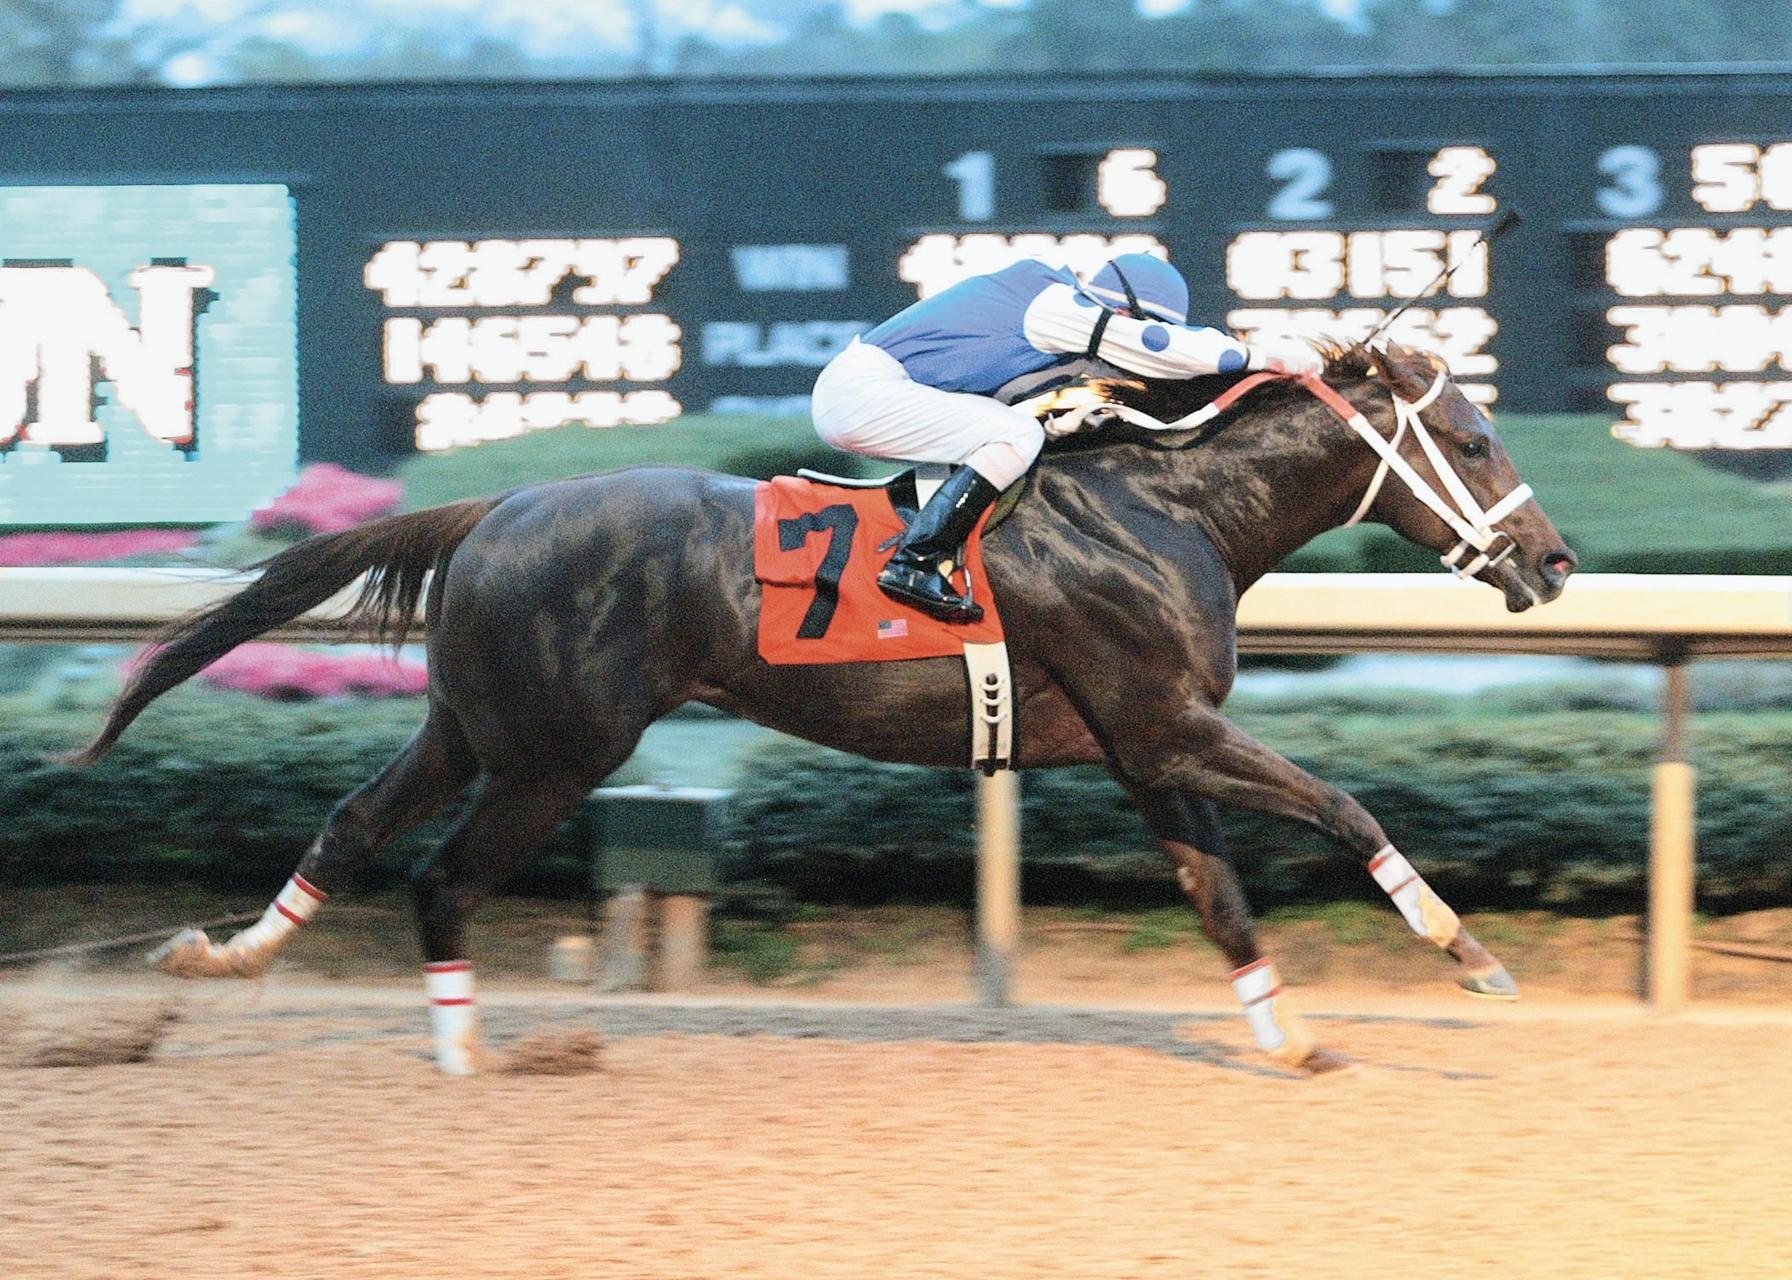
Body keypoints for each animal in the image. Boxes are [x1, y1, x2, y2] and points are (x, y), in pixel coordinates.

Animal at [68, 339, 1575, 1075]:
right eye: (1475, 436)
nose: (1553, 561)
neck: (1167, 506)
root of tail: (494, 506)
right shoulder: (1166, 724)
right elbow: (1343, 803)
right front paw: (1463, 949)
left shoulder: (1147, 750)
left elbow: (1221, 899)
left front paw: (1290, 1037)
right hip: (556, 753)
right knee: (443, 879)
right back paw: (459, 1051)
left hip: (476, 728)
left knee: (352, 824)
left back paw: (230, 957)